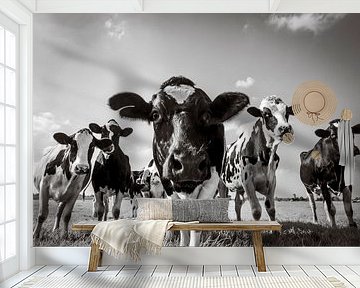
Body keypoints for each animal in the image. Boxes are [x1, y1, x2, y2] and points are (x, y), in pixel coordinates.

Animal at [109, 75, 250, 245]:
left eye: (207, 115)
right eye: (155, 115)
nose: (188, 162)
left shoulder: (211, 181)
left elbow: (197, 223)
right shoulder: (166, 185)